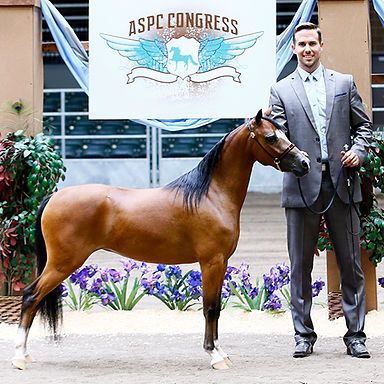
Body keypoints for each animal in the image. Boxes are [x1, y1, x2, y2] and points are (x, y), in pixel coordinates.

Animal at [12, 109, 308, 370]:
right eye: (271, 137)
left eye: (284, 132)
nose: (304, 162)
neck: (210, 195)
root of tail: (54, 197)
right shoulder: (212, 262)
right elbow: (210, 308)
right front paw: (214, 356)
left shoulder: (220, 263)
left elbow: (215, 309)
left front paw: (220, 351)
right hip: (63, 263)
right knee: (30, 296)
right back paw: (19, 357)